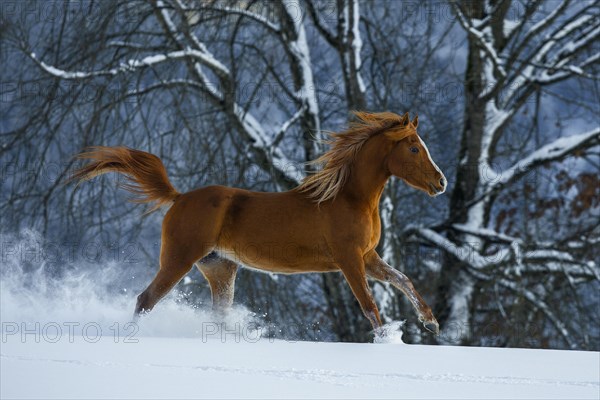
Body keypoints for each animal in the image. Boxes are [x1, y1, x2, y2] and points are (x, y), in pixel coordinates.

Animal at [71, 111, 446, 338]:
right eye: (414, 148)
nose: (440, 183)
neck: (349, 198)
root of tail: (179, 198)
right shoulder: (349, 260)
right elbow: (369, 305)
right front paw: (387, 341)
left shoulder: (368, 257)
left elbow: (403, 280)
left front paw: (431, 322)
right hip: (178, 260)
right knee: (145, 299)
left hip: (220, 269)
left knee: (216, 313)